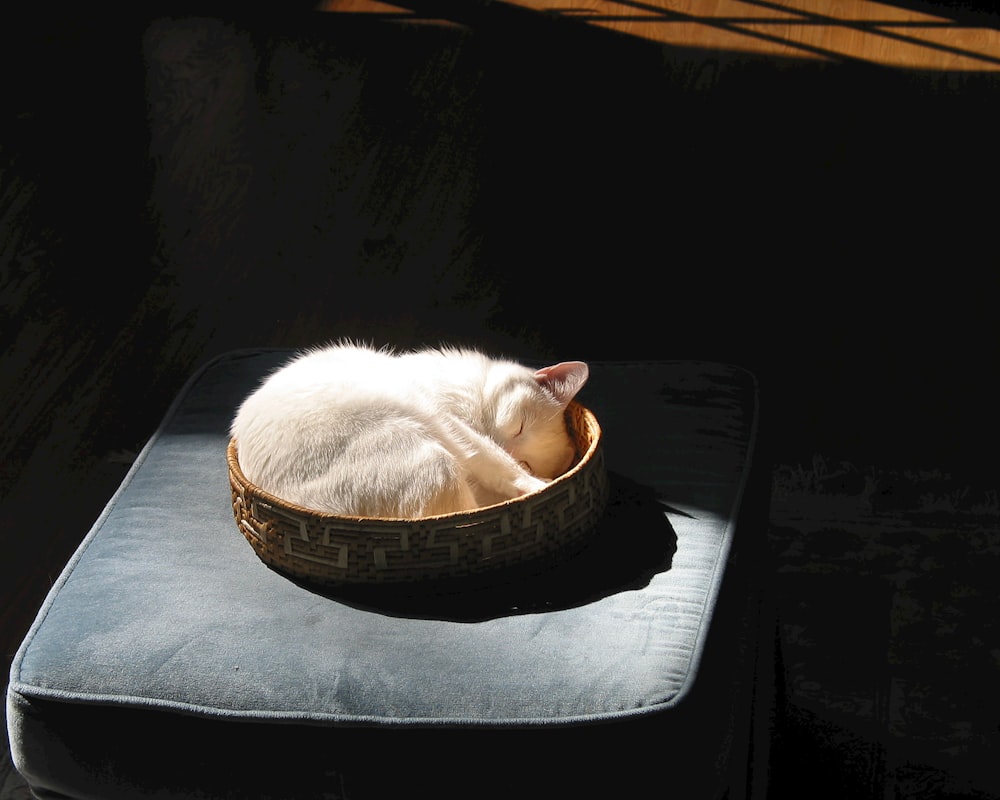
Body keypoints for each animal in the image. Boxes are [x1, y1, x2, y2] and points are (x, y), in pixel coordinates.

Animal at [230, 344, 588, 520]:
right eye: (518, 427)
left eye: (528, 457)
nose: (505, 444)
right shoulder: (454, 423)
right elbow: (501, 465)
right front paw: (539, 485)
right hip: (431, 445)